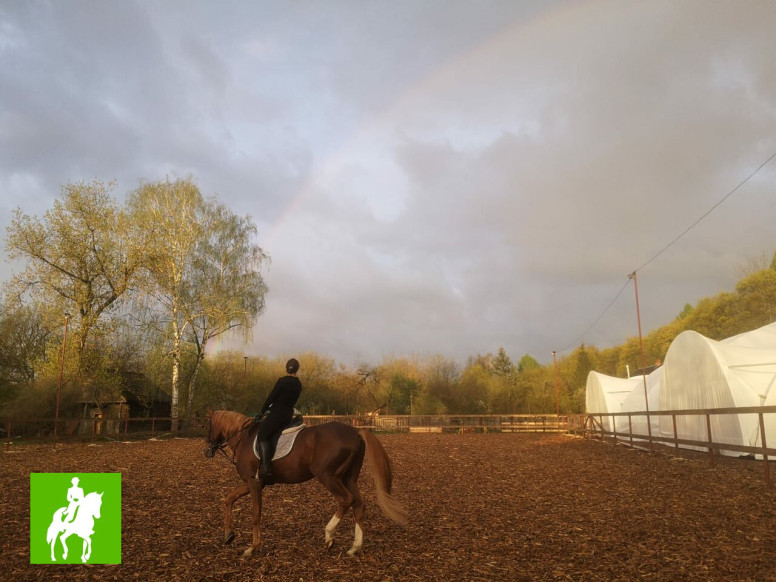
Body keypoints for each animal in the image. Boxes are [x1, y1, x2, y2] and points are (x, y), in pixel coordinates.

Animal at [203, 408, 410, 560]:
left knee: (346, 500)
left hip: (328, 476)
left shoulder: (254, 483)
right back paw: (354, 548)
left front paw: (252, 548)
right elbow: (228, 499)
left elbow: (255, 515)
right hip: (349, 478)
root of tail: (356, 432)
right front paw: (228, 535)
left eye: (208, 425)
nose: (207, 451)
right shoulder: (252, 483)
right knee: (358, 504)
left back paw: (329, 536)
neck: (243, 438)